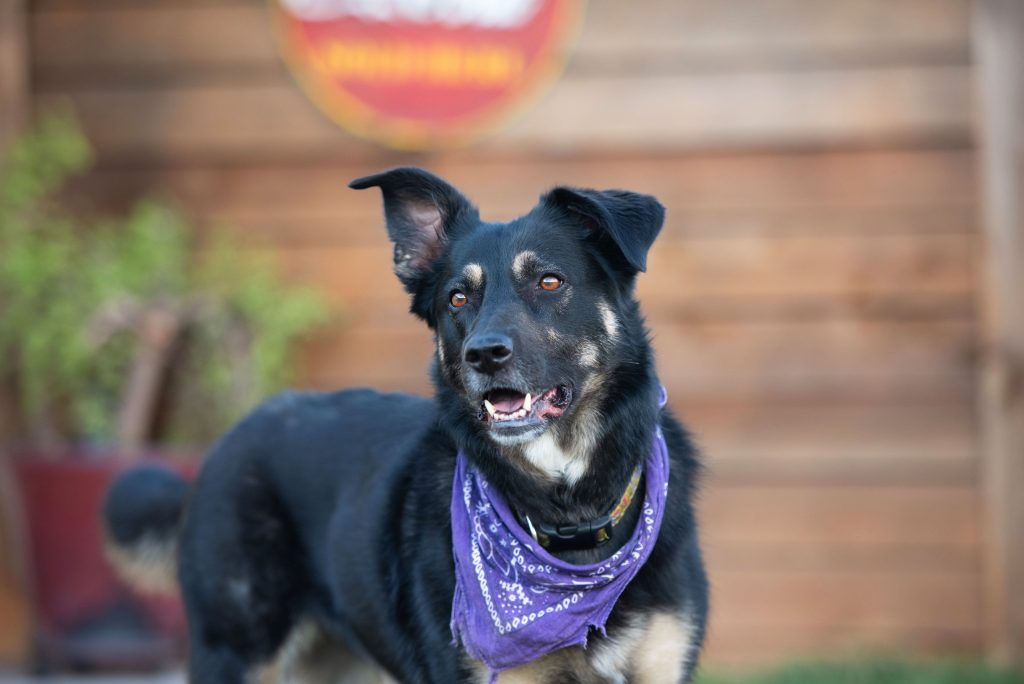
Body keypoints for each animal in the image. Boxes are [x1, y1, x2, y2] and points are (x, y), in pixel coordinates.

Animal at [104, 167, 708, 683]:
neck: (567, 520)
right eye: (458, 298)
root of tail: (231, 436)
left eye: (549, 282)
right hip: (235, 649)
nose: (483, 354)